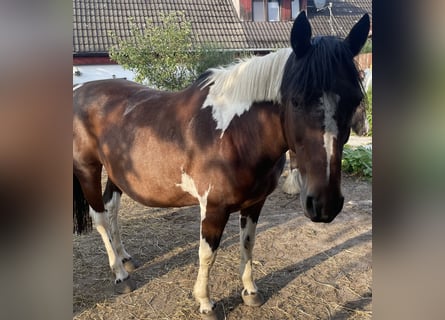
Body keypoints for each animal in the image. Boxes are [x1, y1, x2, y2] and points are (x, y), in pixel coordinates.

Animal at [73, 11, 370, 318]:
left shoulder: (255, 203)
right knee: (100, 217)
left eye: (355, 100)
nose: (324, 204)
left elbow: (248, 243)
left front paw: (250, 291)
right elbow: (208, 253)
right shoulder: (213, 207)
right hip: (88, 169)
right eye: (297, 101)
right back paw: (120, 275)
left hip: (117, 172)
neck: (235, 133)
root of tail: (79, 90)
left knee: (112, 208)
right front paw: (205, 302)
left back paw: (125, 258)